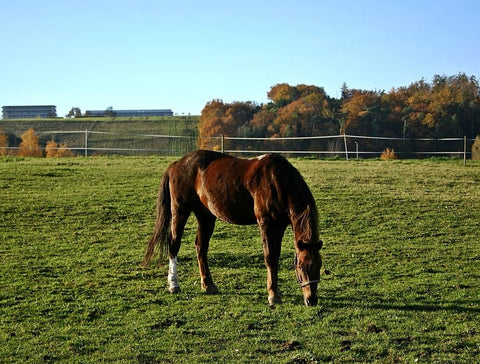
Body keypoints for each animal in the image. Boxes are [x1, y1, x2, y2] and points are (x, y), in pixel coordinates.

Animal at [142, 149, 322, 306]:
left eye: (319, 265)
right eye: (301, 266)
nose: (311, 300)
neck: (277, 180)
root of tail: (178, 163)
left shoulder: (280, 225)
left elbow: (275, 256)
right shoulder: (266, 224)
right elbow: (270, 257)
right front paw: (273, 295)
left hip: (206, 216)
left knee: (201, 247)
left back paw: (208, 284)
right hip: (180, 211)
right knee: (174, 244)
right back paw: (173, 284)